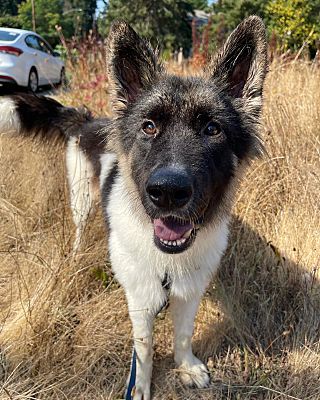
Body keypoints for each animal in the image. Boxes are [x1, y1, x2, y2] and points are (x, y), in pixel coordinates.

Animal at [0, 16, 268, 400]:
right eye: (149, 127)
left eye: (212, 129)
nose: (167, 193)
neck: (167, 261)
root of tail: (89, 121)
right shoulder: (140, 299)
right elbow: (143, 347)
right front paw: (140, 384)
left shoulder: (189, 291)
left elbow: (183, 335)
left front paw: (186, 366)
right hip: (81, 198)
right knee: (80, 228)